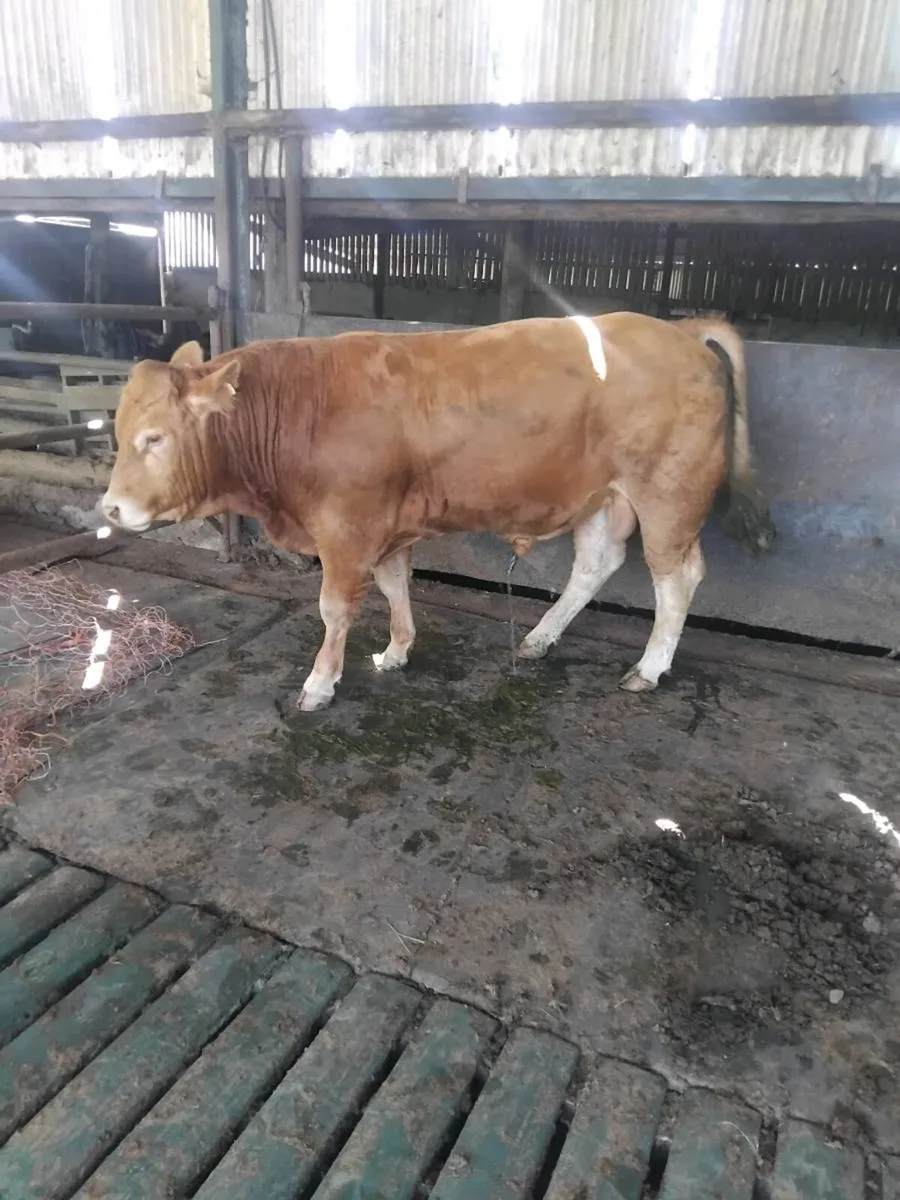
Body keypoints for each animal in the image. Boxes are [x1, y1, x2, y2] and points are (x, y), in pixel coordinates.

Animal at [100, 312, 774, 711]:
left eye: (155, 438)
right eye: (118, 430)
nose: (110, 505)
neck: (301, 407)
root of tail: (679, 329)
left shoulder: (346, 528)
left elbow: (335, 608)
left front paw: (320, 683)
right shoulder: (388, 528)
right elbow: (396, 585)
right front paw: (394, 652)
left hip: (668, 495)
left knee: (676, 578)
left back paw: (650, 668)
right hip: (602, 497)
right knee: (596, 565)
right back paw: (539, 639)